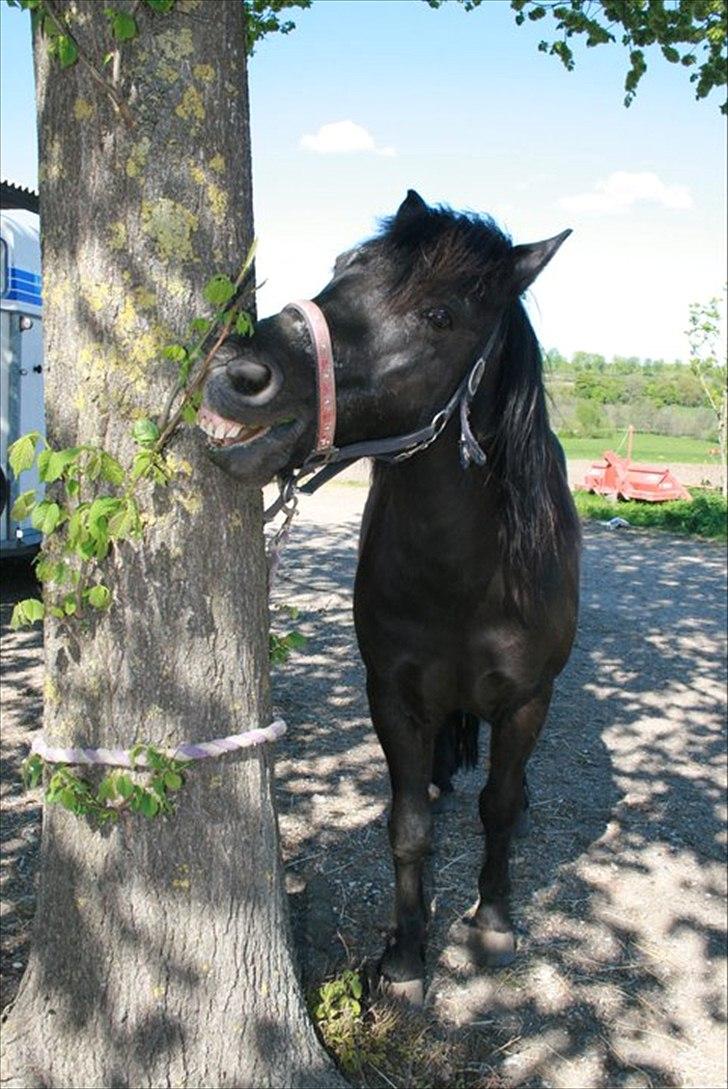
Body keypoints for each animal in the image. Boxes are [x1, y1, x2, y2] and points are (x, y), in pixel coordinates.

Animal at [201, 191, 583, 997]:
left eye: (441, 314)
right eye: (345, 265)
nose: (237, 373)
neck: (469, 580)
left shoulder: (527, 699)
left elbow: (499, 807)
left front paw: (493, 922)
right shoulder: (395, 697)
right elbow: (407, 828)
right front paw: (406, 956)